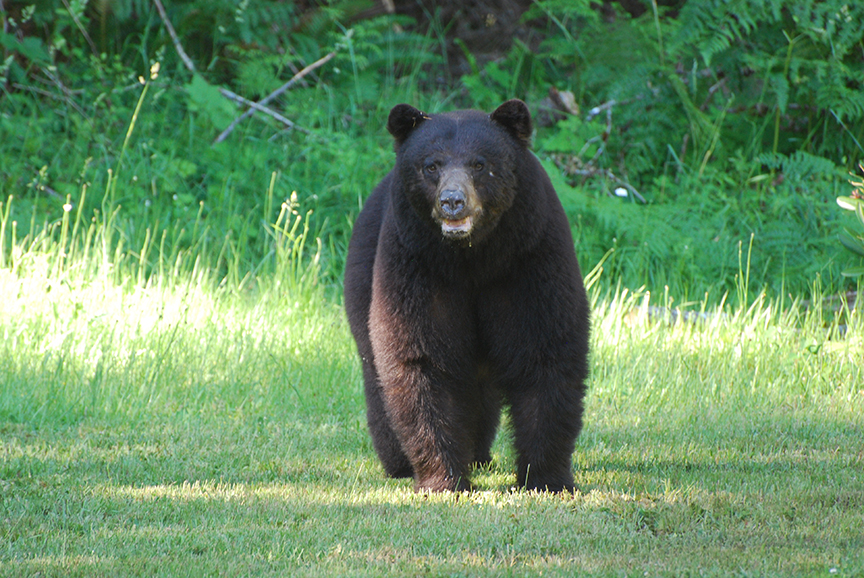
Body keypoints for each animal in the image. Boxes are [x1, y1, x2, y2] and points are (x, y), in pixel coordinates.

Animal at [344, 99, 591, 493]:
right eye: (431, 165)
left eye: (480, 163)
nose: (453, 201)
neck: (472, 260)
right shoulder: (417, 264)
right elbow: (422, 358)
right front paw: (443, 479)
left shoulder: (530, 256)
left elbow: (544, 349)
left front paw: (545, 477)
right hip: (365, 275)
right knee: (377, 372)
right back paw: (400, 462)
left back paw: (478, 453)